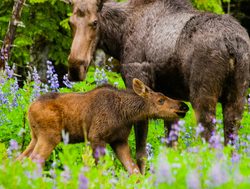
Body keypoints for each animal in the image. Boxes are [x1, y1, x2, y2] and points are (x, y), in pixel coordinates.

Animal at [17, 78, 188, 174]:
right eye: (160, 100)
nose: (183, 106)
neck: (125, 114)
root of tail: (29, 108)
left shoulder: (119, 140)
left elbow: (134, 171)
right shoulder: (96, 136)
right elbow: (102, 168)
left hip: (35, 137)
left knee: (19, 159)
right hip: (50, 136)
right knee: (33, 162)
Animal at [66, 0, 250, 174]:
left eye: (95, 22)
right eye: (70, 22)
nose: (75, 68)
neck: (118, 38)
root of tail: (232, 45)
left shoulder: (138, 82)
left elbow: (140, 153)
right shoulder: (173, 99)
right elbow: (171, 147)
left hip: (203, 99)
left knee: (211, 147)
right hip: (237, 98)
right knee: (232, 147)